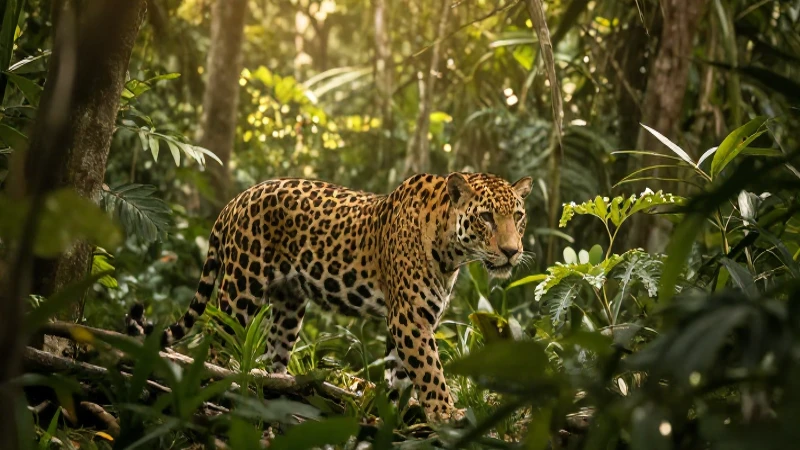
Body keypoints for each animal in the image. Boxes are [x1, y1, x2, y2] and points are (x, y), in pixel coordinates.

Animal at [126, 172, 532, 421]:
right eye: (485, 217)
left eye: (518, 215)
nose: (512, 252)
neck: (452, 250)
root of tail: (235, 200)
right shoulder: (409, 318)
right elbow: (430, 370)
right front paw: (447, 414)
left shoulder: (410, 320)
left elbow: (401, 375)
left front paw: (398, 416)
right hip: (241, 288)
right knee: (214, 337)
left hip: (289, 303)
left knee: (274, 350)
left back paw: (281, 389)